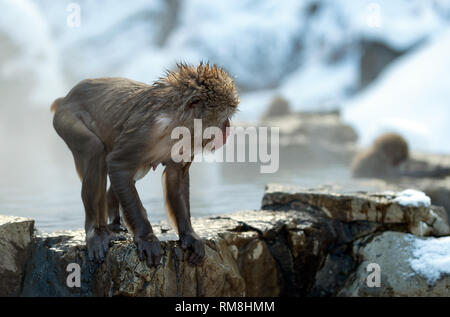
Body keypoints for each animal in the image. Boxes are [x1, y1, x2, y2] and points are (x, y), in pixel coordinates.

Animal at [51, 63, 239, 264]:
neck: (176, 123)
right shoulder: (143, 133)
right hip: (66, 118)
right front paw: (146, 237)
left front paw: (189, 235)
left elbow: (176, 178)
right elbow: (117, 165)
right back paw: (97, 232)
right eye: (225, 116)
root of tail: (66, 98)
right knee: (95, 150)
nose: (228, 128)